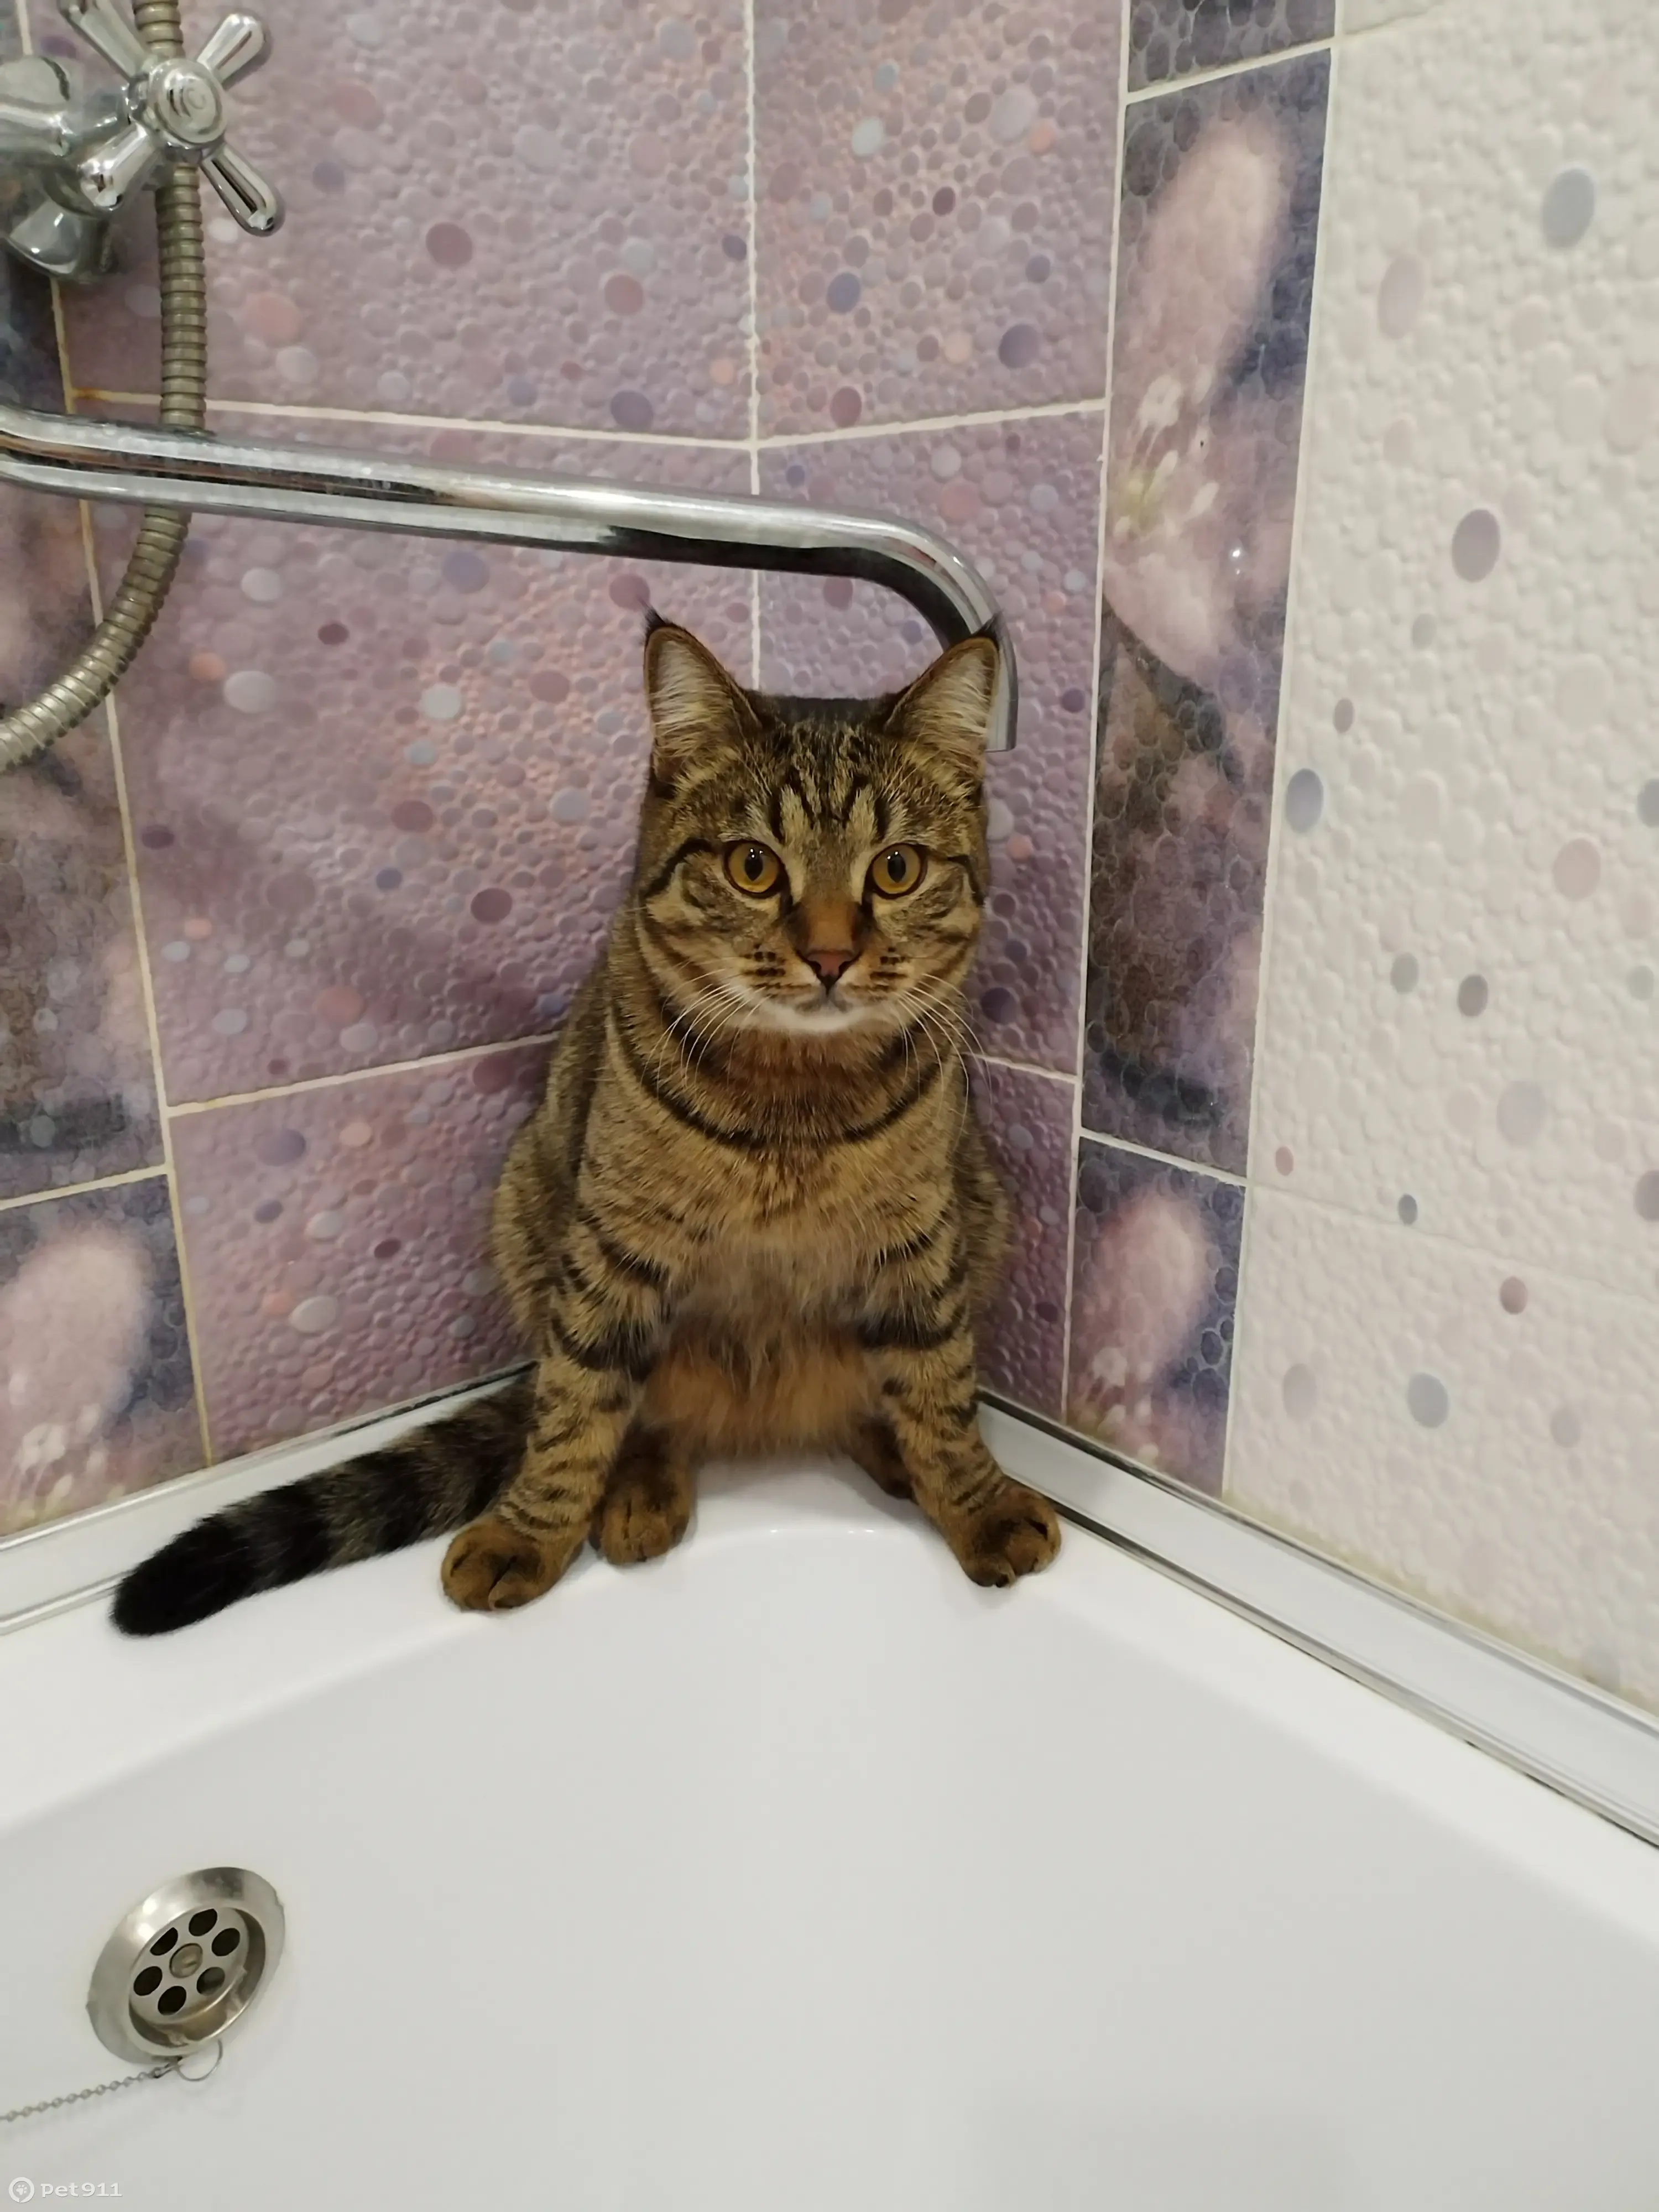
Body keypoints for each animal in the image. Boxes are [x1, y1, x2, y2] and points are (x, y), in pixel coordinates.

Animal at [113, 616, 1061, 1633]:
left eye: (896, 868)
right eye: (754, 866)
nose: (832, 955)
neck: (792, 1099)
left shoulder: (917, 1244)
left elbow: (939, 1388)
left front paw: (974, 1499)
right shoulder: (615, 1245)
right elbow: (577, 1406)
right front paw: (531, 1530)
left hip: (982, 1210)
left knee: (864, 1397)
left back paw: (887, 1454)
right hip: (530, 1209)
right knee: (640, 1413)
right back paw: (637, 1493)